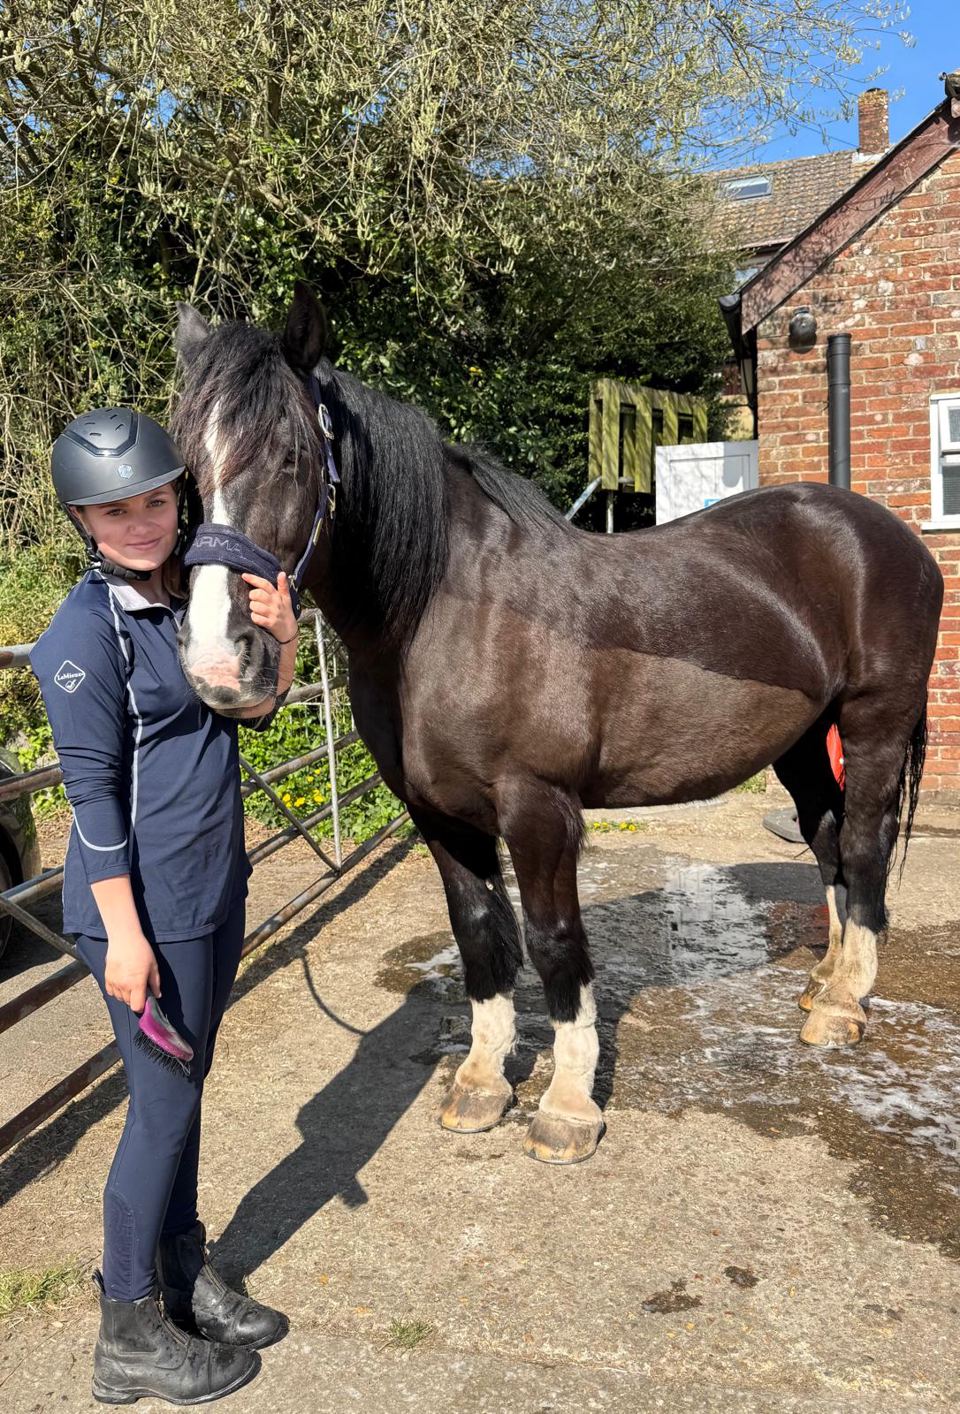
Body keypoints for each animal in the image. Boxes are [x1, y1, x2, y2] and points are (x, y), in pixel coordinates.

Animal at [171, 284, 944, 1165]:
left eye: (293, 458)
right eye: (190, 469)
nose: (219, 664)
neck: (450, 612)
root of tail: (888, 535)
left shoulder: (538, 809)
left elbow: (553, 943)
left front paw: (569, 1105)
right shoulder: (439, 815)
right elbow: (479, 935)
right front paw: (480, 1084)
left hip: (874, 721)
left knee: (864, 842)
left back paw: (844, 1005)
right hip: (805, 740)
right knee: (825, 836)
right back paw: (824, 981)